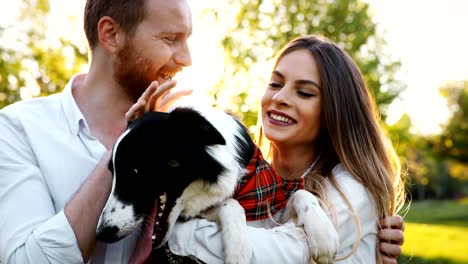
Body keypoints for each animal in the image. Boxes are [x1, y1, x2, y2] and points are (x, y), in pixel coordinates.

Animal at [96, 105, 336, 264]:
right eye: (112, 172)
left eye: (135, 171)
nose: (101, 234)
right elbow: (230, 204)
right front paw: (238, 247)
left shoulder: (269, 210)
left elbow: (301, 193)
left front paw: (323, 236)